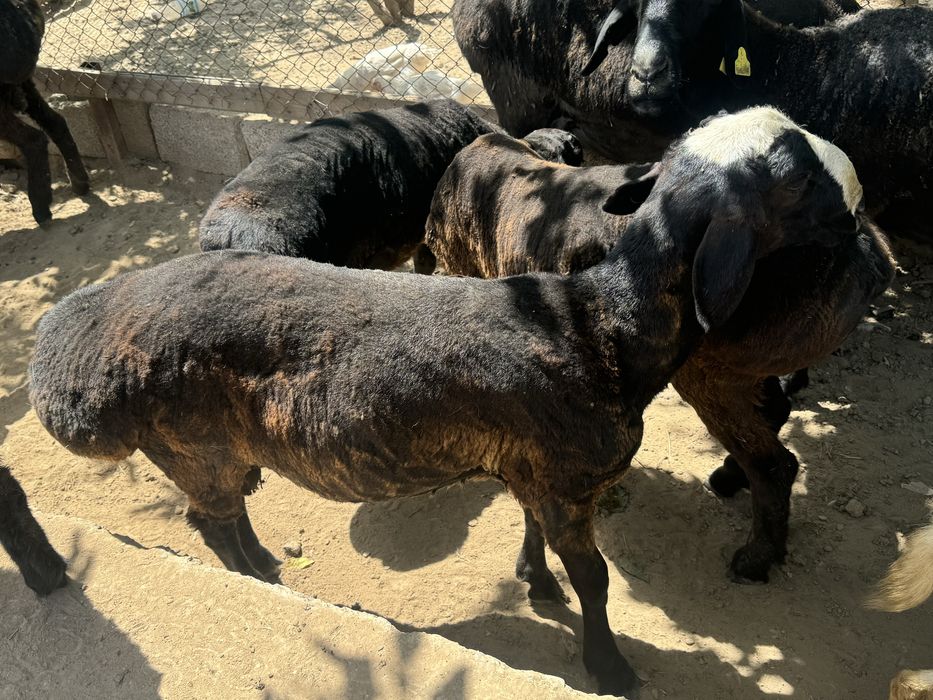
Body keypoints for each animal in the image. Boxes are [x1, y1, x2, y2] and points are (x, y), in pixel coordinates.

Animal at [426, 124, 895, 583]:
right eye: (798, 180)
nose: (854, 209)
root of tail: (873, 258)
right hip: (742, 364)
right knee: (775, 414)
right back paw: (730, 479)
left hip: (710, 371)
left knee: (773, 464)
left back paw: (755, 559)